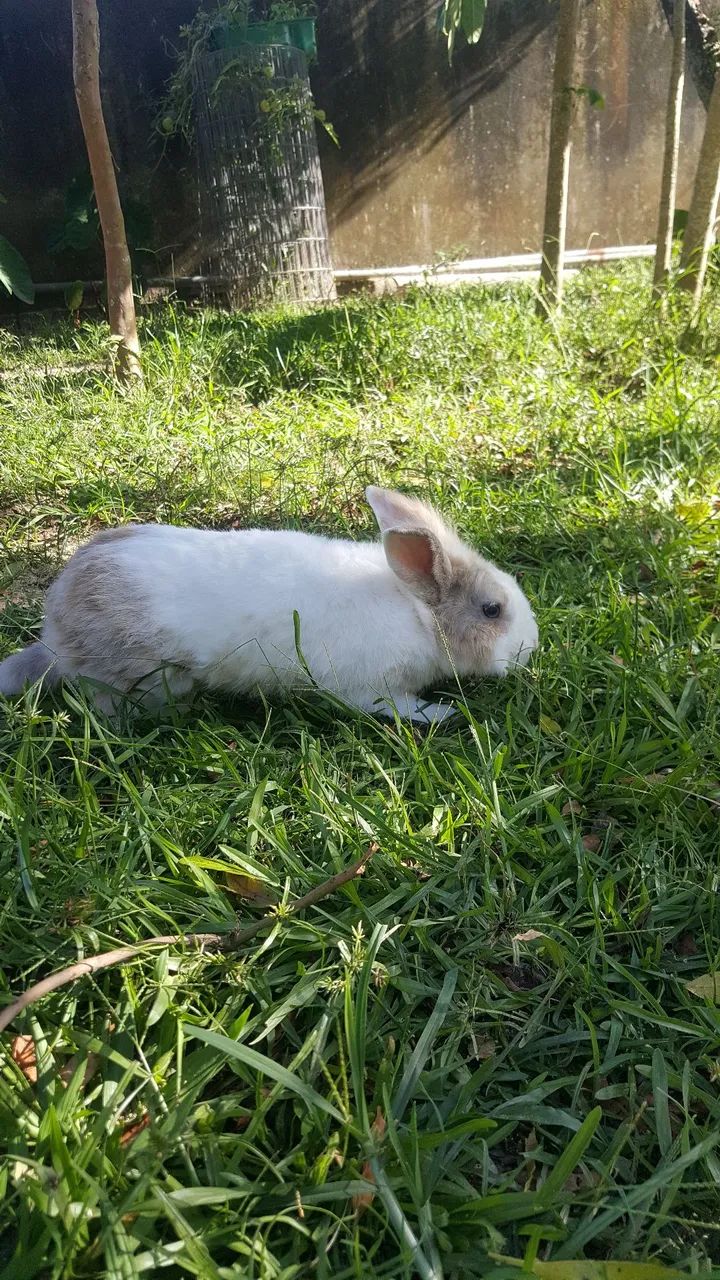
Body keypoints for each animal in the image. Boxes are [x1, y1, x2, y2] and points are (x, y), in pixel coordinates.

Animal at [0, 486, 538, 723]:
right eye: (492, 610)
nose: (531, 647)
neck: (419, 614)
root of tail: (56, 632)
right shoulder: (370, 688)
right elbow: (396, 706)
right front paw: (441, 714)